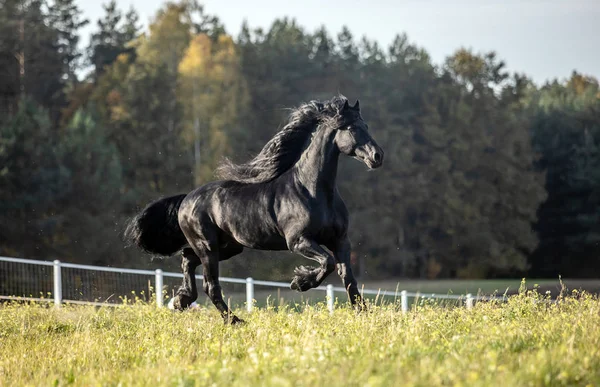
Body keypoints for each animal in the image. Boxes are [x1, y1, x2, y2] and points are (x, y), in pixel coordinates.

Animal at [123, 96, 382, 324]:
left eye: (367, 126)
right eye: (350, 127)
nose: (377, 156)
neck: (312, 190)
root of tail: (187, 198)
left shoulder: (341, 240)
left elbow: (348, 278)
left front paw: (363, 314)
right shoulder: (298, 241)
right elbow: (327, 263)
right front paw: (300, 282)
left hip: (228, 247)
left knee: (187, 259)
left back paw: (182, 300)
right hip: (209, 248)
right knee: (210, 285)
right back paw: (234, 320)